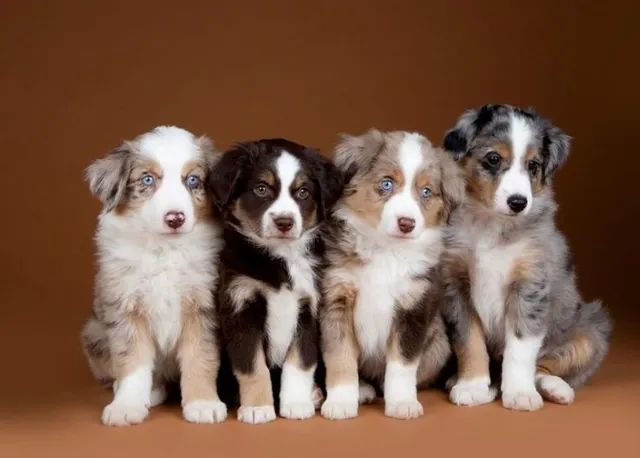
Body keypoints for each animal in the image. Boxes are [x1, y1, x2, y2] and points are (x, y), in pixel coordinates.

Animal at [82, 126, 228, 426]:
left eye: (193, 180)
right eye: (147, 179)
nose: (175, 218)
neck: (165, 249)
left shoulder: (204, 306)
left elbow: (201, 356)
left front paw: (203, 403)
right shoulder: (125, 307)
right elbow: (132, 361)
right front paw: (126, 406)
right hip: (94, 333)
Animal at [209, 138, 344, 424]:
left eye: (303, 192)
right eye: (261, 189)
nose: (284, 222)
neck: (280, 260)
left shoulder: (308, 310)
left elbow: (299, 363)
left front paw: (296, 403)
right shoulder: (240, 308)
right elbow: (253, 367)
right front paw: (258, 408)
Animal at [320, 129, 460, 418]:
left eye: (426, 191)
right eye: (386, 184)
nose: (407, 223)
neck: (385, 249)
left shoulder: (413, 306)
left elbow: (402, 364)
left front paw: (403, 403)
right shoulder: (336, 298)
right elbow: (340, 356)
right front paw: (340, 402)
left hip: (438, 343)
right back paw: (362, 389)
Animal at [440, 104, 608, 412]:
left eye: (533, 166)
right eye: (493, 159)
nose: (518, 202)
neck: (491, 225)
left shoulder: (530, 284)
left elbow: (520, 347)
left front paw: (519, 393)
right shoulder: (455, 283)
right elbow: (469, 341)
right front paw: (472, 386)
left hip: (592, 329)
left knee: (544, 366)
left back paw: (555, 388)